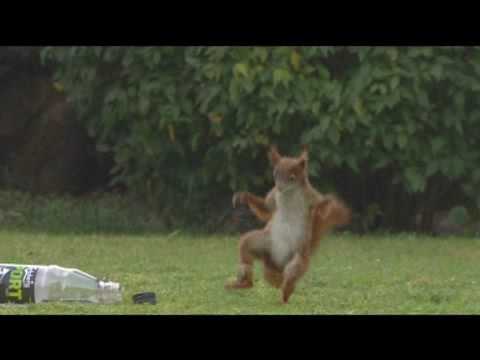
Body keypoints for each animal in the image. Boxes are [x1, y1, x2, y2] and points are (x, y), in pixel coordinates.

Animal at [225, 145, 348, 302]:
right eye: (275, 174)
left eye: (292, 177)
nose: (279, 187)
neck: (289, 193)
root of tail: (277, 267)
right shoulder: (273, 196)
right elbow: (266, 208)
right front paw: (243, 197)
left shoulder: (311, 196)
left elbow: (322, 206)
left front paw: (328, 203)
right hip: (259, 243)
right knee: (247, 251)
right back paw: (244, 283)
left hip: (298, 256)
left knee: (291, 275)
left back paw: (285, 293)